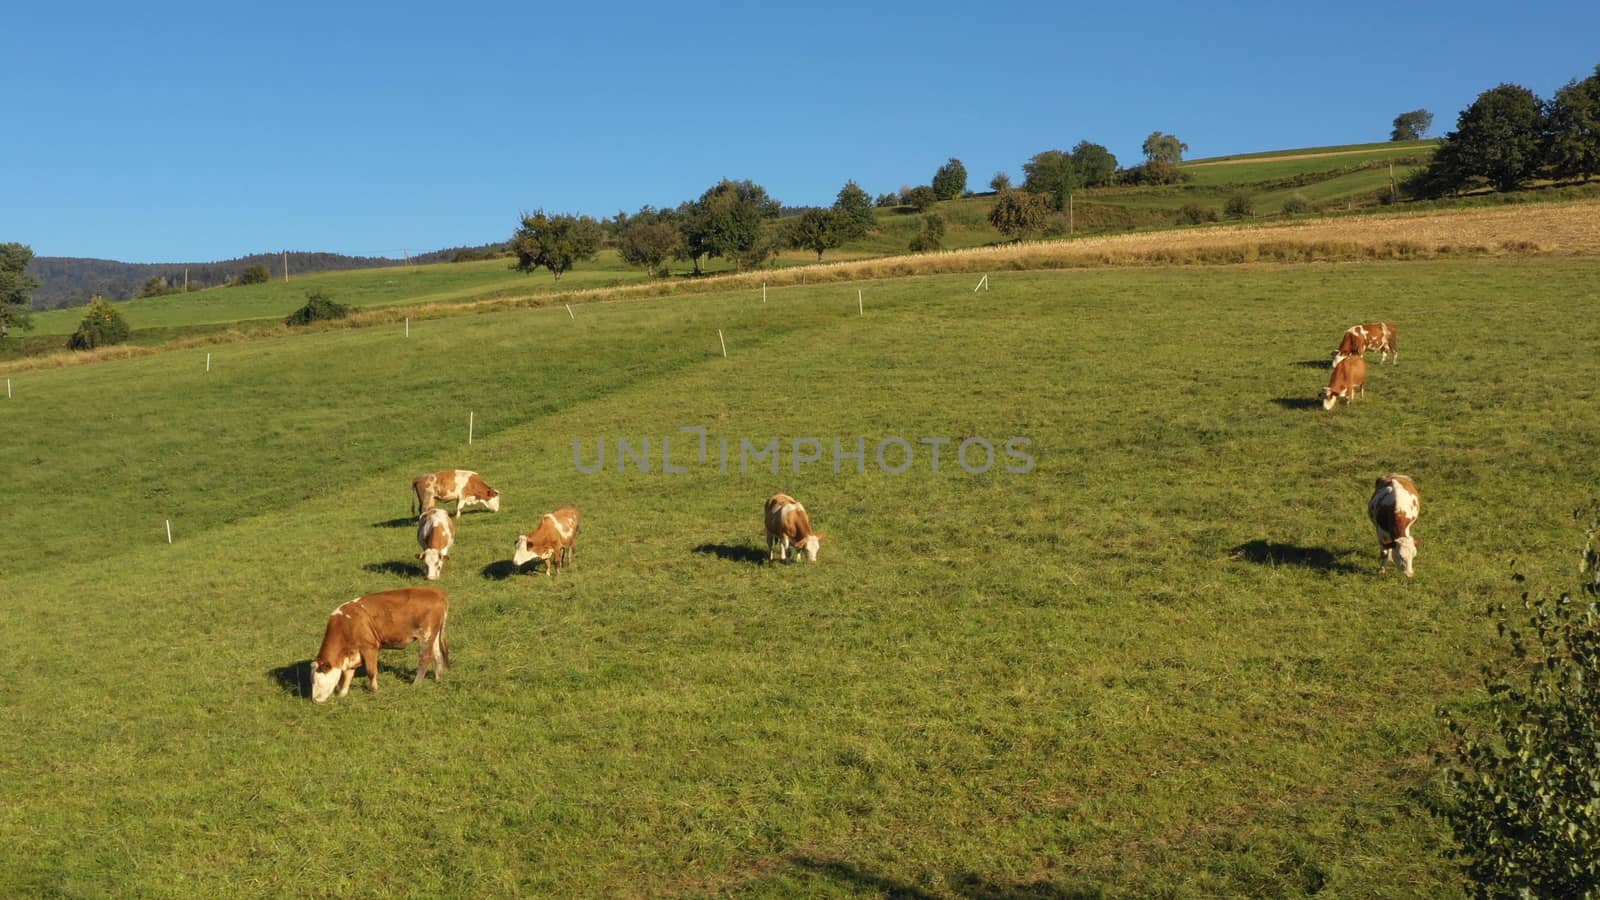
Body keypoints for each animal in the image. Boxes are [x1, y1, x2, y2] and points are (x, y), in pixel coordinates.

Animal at [307, 582, 448, 701]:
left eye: (316, 681)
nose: (314, 700)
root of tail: (437, 592)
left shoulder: (369, 647)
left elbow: (371, 671)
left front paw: (374, 690)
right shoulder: (353, 653)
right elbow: (348, 674)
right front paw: (342, 693)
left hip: (426, 634)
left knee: (425, 657)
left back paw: (416, 684)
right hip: (435, 635)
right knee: (438, 654)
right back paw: (438, 678)